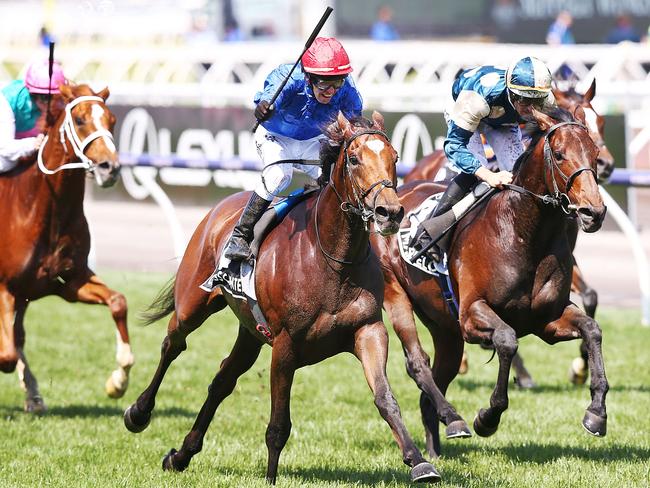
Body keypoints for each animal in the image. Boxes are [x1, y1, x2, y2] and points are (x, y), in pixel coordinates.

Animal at [0, 84, 132, 412]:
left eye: (112, 120)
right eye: (81, 120)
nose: (110, 168)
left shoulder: (70, 281)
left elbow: (118, 302)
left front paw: (117, 382)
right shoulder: (5, 287)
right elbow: (6, 355)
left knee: (18, 336)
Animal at [121, 113, 446, 484]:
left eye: (394, 157)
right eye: (353, 159)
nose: (389, 212)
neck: (332, 259)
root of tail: (220, 208)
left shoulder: (368, 330)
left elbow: (385, 398)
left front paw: (419, 462)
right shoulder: (286, 344)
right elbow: (278, 424)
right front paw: (271, 478)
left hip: (250, 332)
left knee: (222, 380)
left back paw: (181, 455)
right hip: (193, 304)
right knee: (173, 344)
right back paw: (138, 412)